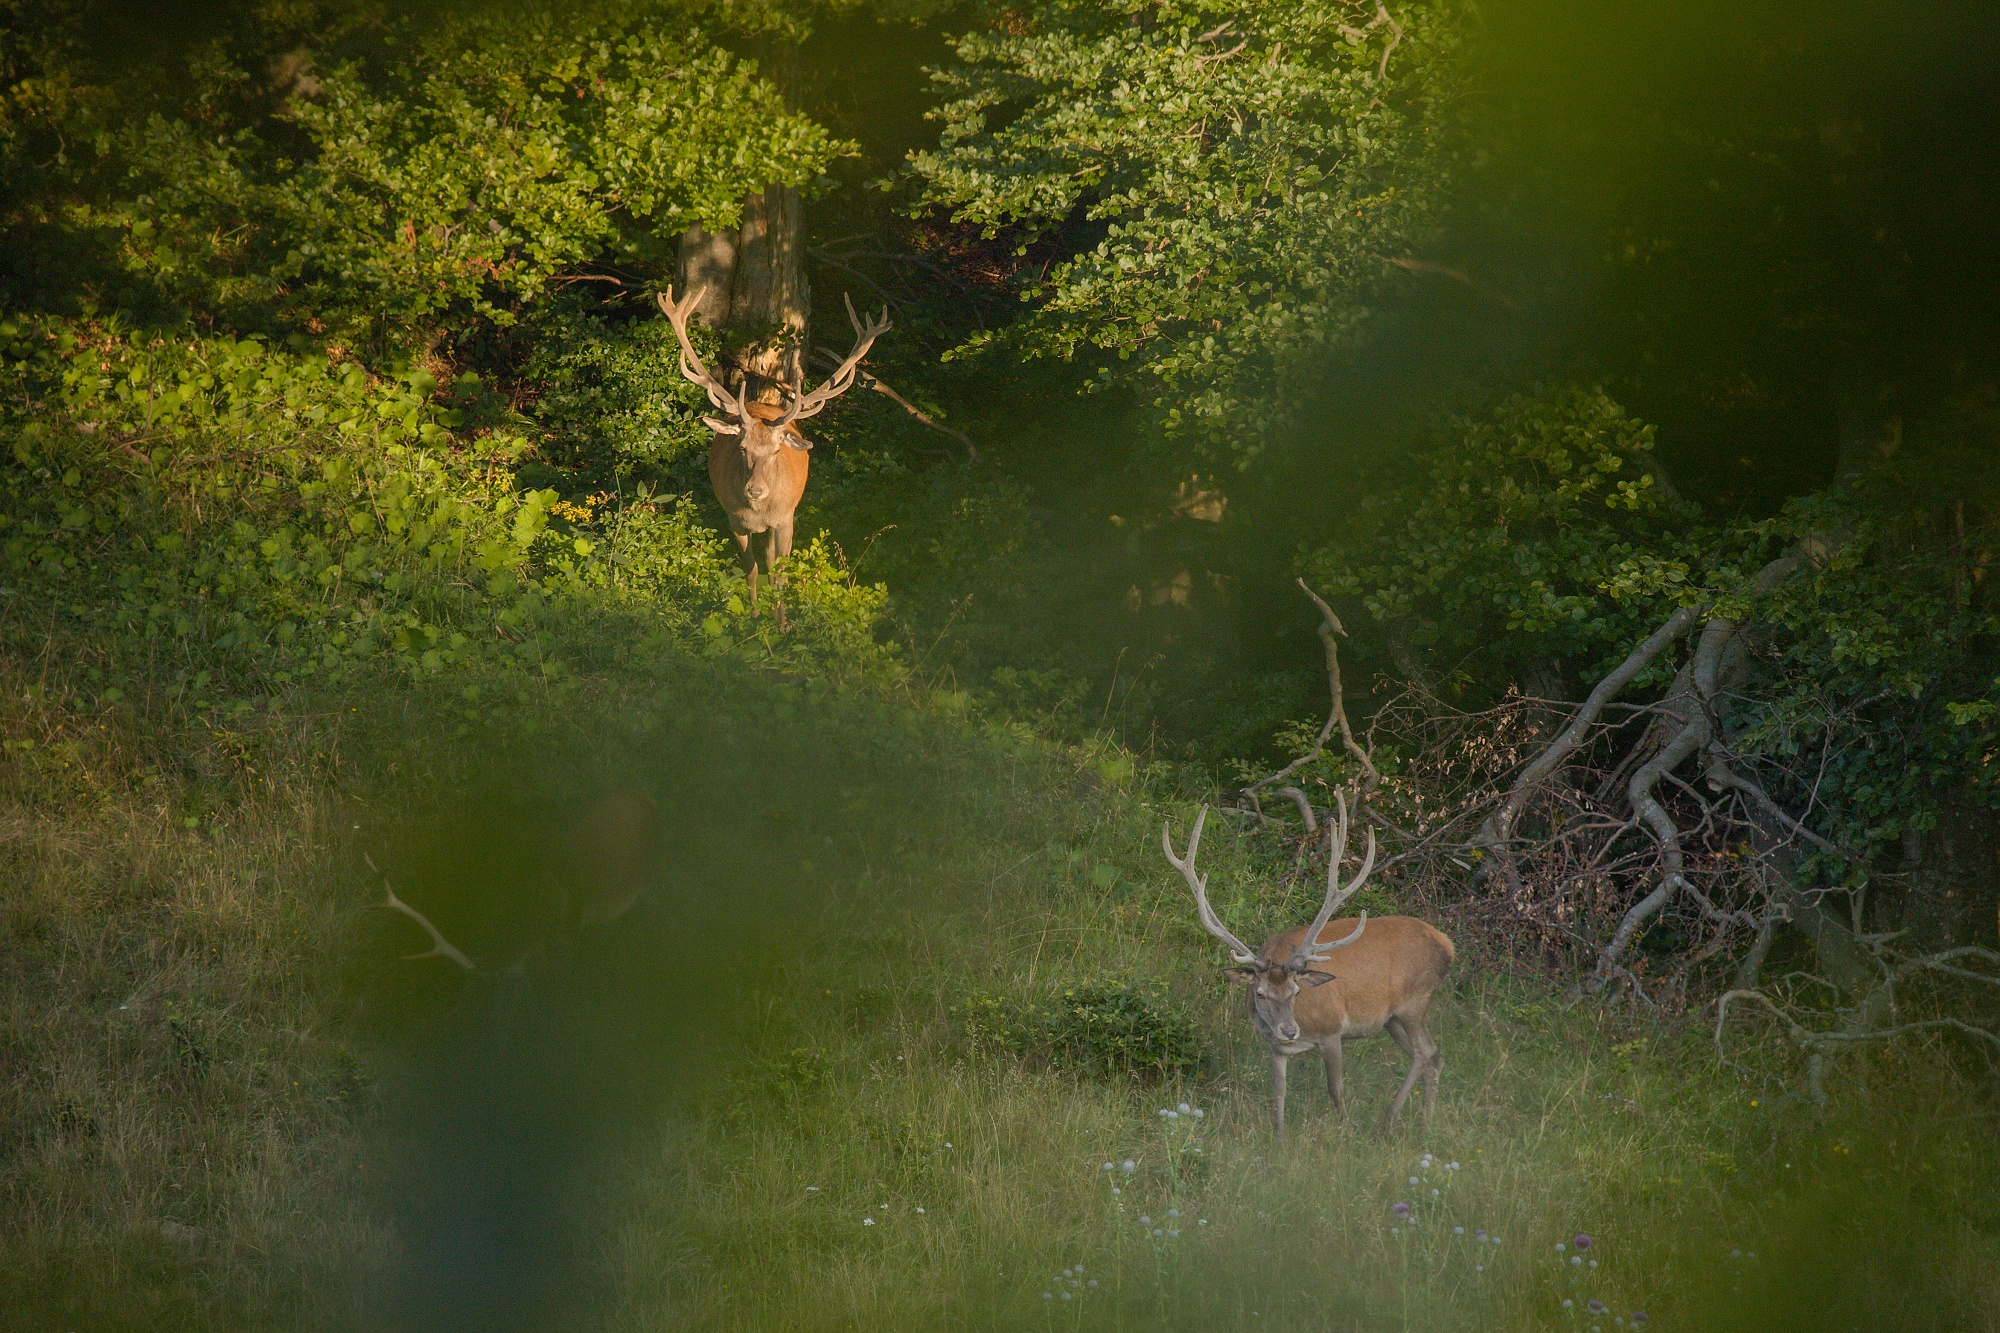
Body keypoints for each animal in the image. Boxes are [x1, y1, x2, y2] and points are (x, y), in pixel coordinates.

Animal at [660, 286, 888, 616]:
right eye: (742, 448)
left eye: (777, 451)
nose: (755, 490)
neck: (758, 512)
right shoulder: (734, 519)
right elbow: (750, 569)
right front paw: (755, 617)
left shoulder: (784, 518)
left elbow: (779, 573)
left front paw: (781, 622)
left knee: (774, 563)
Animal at [1160, 788, 1456, 1128]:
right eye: (1260, 993)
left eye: (1296, 991)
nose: (1289, 1030)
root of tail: (1448, 945)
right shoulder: (1275, 1047)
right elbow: (1278, 1093)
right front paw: (1279, 1135)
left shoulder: (1332, 1031)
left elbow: (1335, 1089)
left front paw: (1345, 1128)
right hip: (1391, 1018)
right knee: (1434, 1055)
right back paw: (1425, 1125)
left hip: (1415, 1001)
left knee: (1424, 1053)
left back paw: (1390, 1118)